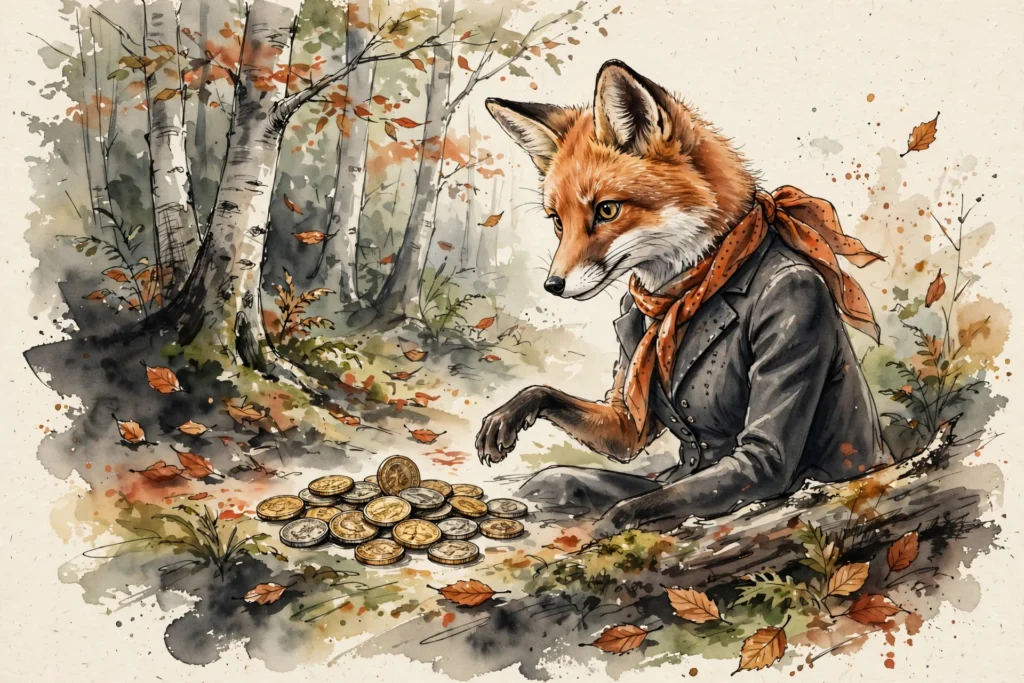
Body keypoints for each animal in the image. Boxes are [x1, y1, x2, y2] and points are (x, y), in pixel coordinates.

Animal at [477, 60, 889, 537]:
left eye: (607, 210)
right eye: (558, 222)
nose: (553, 285)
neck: (685, 291)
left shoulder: (793, 309)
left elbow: (640, 506)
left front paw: (611, 526)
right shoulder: (626, 418)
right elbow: (561, 401)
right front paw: (508, 414)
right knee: (550, 481)